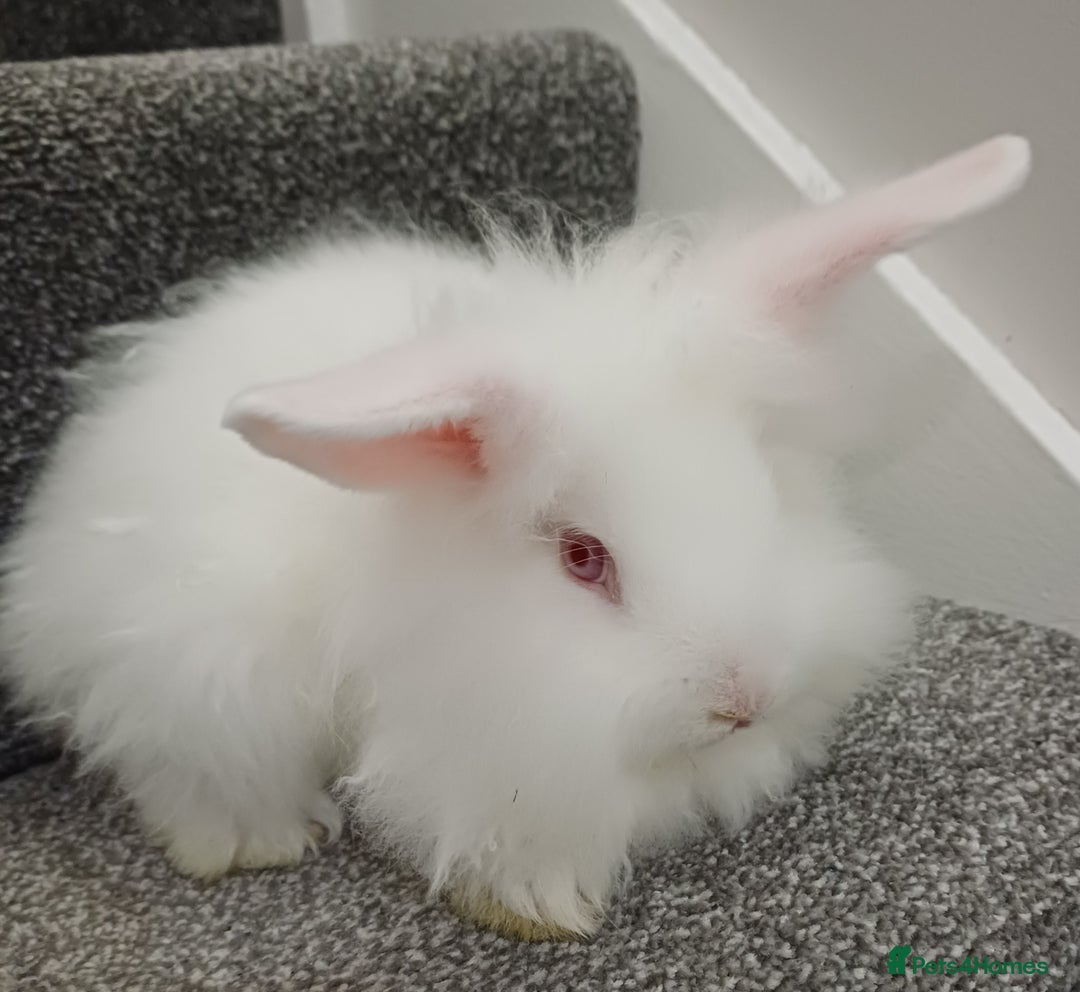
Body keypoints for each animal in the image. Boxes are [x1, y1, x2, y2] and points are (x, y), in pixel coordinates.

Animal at [0, 135, 1030, 940]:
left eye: (770, 494)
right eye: (581, 558)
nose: (744, 700)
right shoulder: (483, 747)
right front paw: (540, 908)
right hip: (191, 660)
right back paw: (258, 841)